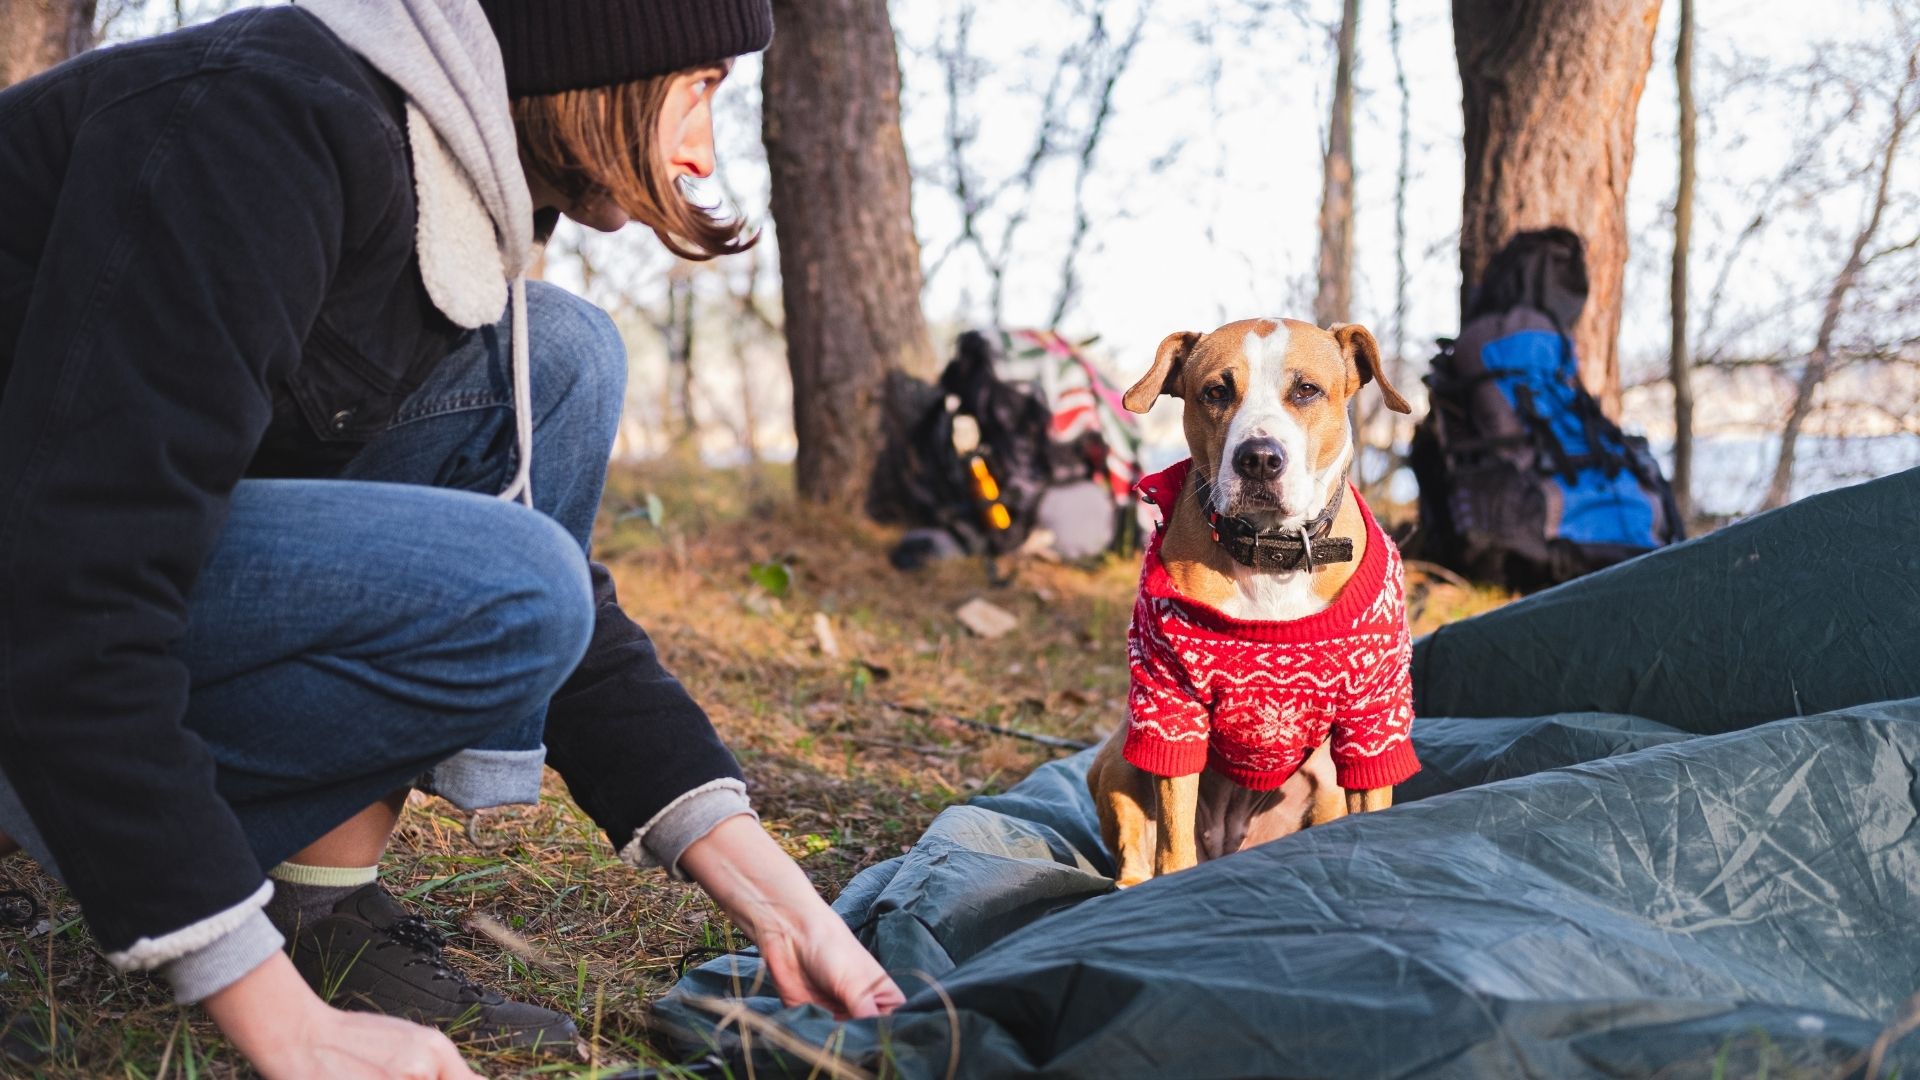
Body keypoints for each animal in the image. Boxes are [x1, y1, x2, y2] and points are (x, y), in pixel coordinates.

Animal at [1090, 317, 1420, 883]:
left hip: (1323, 777)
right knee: (1138, 847)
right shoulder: (1170, 707)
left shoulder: (1374, 714)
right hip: (1119, 756)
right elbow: (1173, 839)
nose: (1260, 458)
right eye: (1216, 392)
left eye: (1306, 389)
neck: (1272, 554)